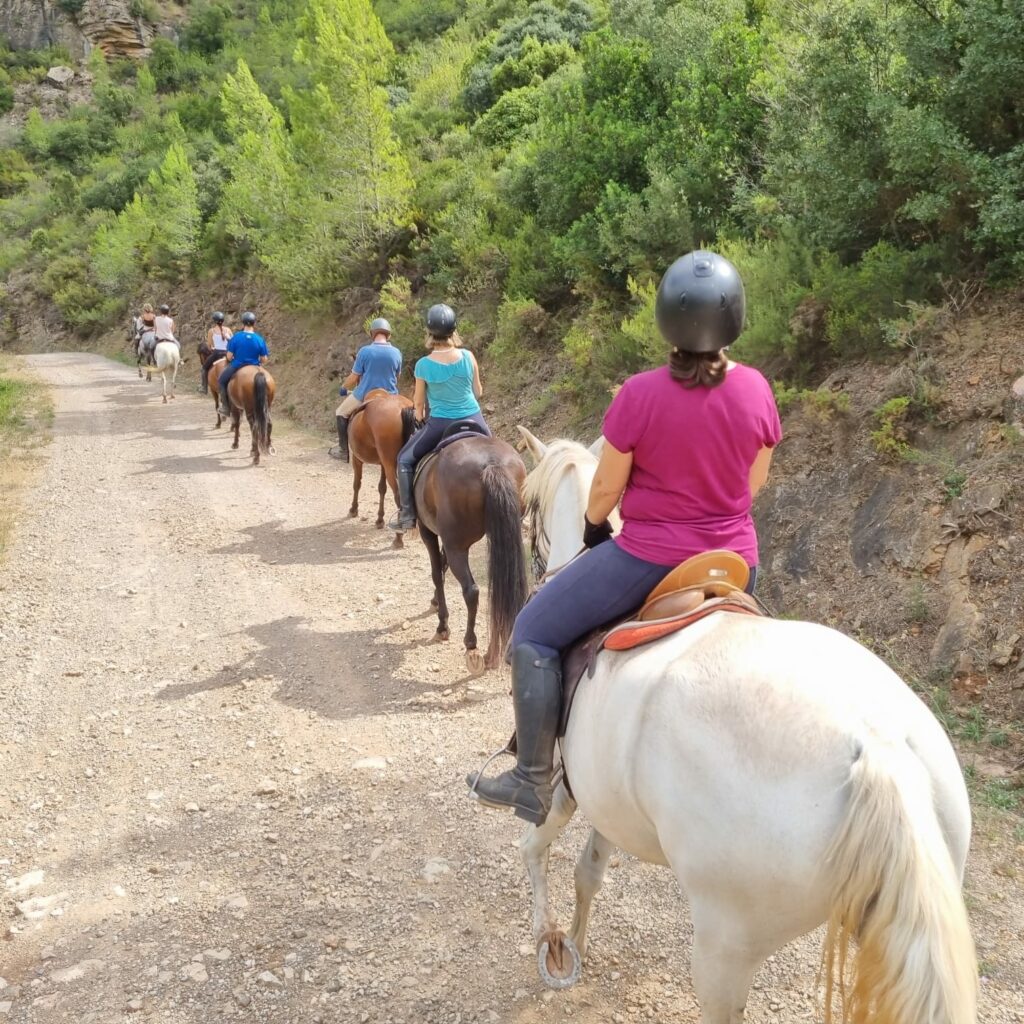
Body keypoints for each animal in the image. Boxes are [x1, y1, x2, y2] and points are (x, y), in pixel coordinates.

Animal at [350, 385, 417, 544]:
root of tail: (402, 408)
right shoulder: (383, 465)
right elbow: (382, 488)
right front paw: (379, 519)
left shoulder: (357, 459)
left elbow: (357, 484)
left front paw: (353, 509)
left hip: (390, 466)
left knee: (399, 496)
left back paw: (399, 537)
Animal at [415, 438, 528, 671]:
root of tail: (492, 464)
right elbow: (442, 567)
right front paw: (435, 602)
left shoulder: (427, 531)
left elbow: (437, 573)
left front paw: (442, 624)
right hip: (502, 534)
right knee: (500, 586)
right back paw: (493, 653)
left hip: (456, 546)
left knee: (471, 590)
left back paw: (471, 644)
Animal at [499, 423, 978, 1024]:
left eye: (529, 506)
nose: (539, 569)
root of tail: (879, 748)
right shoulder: (604, 796)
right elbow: (589, 870)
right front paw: (577, 942)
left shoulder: (564, 787)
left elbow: (534, 846)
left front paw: (552, 941)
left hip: (726, 943)